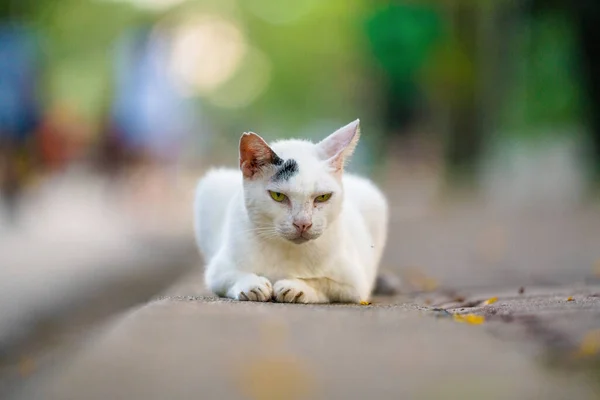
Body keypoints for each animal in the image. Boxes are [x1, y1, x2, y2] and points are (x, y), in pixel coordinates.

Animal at [193, 119, 390, 304]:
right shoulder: (218, 269)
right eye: (278, 196)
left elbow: (323, 282)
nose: (303, 223)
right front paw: (252, 284)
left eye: (323, 197)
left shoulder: (355, 283)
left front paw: (296, 287)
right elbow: (229, 275)